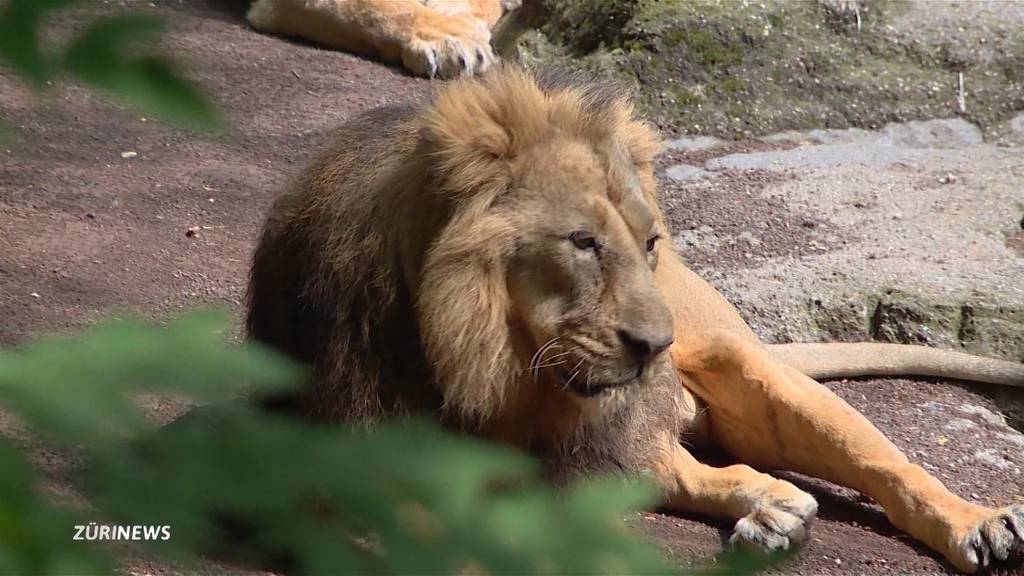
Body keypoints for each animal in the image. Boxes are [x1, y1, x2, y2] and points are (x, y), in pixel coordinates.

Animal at [245, 67, 1024, 569]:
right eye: (583, 243)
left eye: (649, 243)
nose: (655, 346)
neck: (484, 366)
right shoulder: (341, 479)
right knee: (686, 467)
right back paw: (773, 512)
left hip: (746, 370)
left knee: (886, 463)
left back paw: (981, 526)